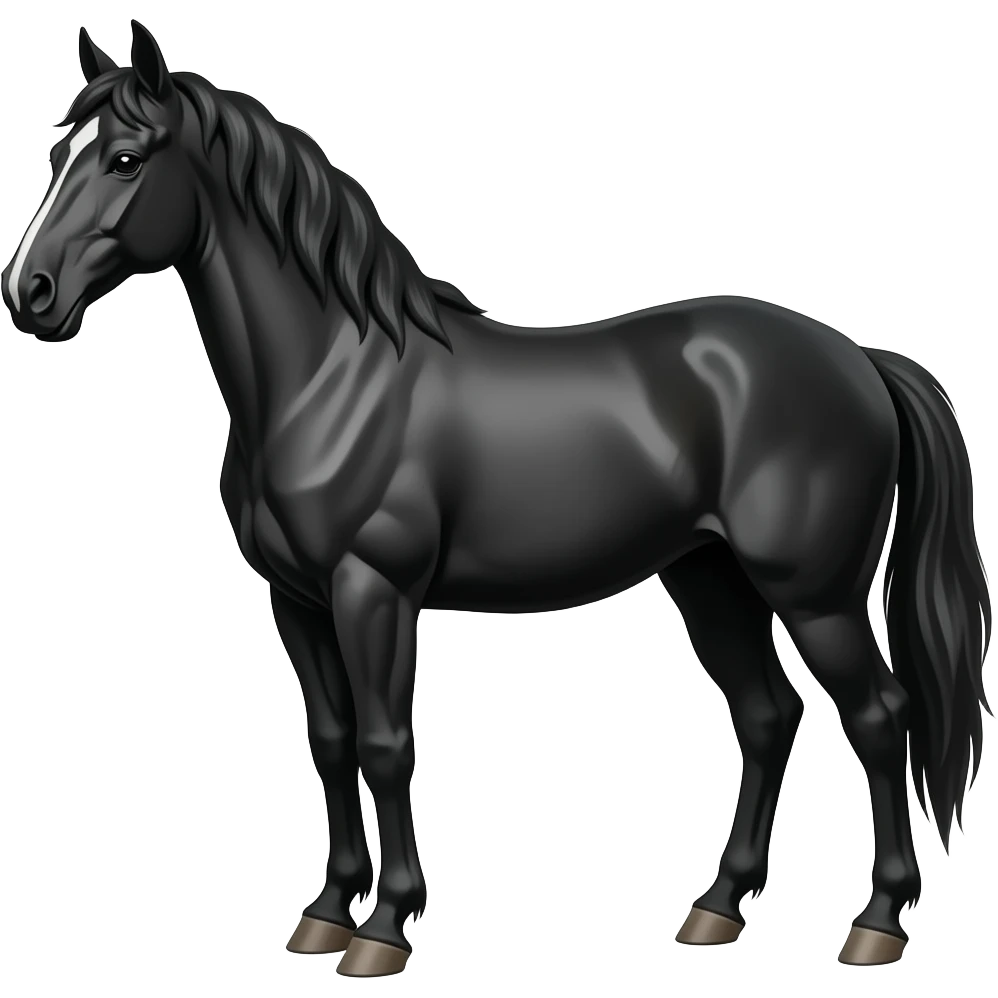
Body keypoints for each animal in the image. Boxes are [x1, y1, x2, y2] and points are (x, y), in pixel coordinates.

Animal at [3, 20, 991, 976]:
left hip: (814, 595)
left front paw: (384, 930)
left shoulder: (374, 592)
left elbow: (385, 745)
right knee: (766, 716)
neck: (332, 375)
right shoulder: (297, 600)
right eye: (56, 150)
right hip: (710, 579)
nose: (29, 294)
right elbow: (331, 740)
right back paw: (716, 909)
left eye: (125, 158)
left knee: (880, 718)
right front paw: (325, 914)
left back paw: (876, 924)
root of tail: (859, 359)